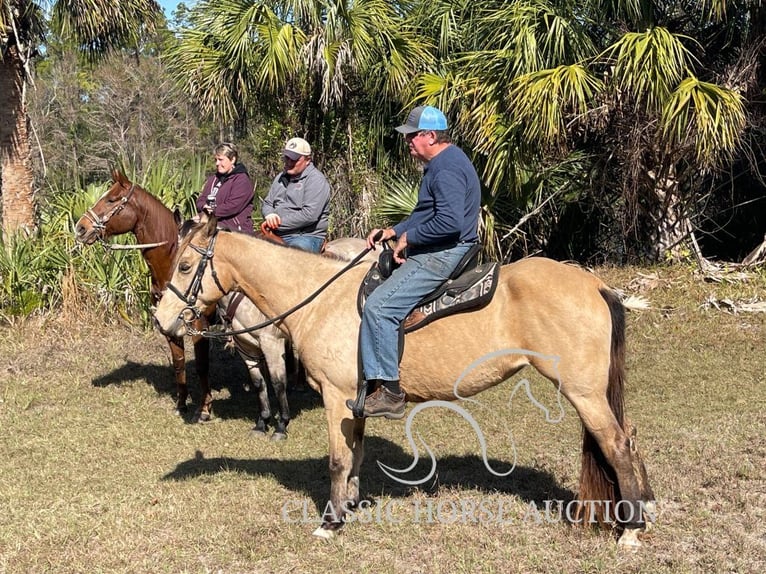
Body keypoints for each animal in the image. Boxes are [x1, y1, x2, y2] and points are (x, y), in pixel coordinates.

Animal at [153, 216, 656, 548]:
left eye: (185, 267)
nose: (162, 321)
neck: (320, 298)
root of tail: (594, 285)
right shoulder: (354, 402)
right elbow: (355, 455)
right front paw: (350, 506)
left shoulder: (335, 396)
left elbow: (337, 461)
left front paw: (329, 522)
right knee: (628, 436)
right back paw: (644, 507)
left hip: (583, 392)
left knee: (616, 444)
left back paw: (630, 529)